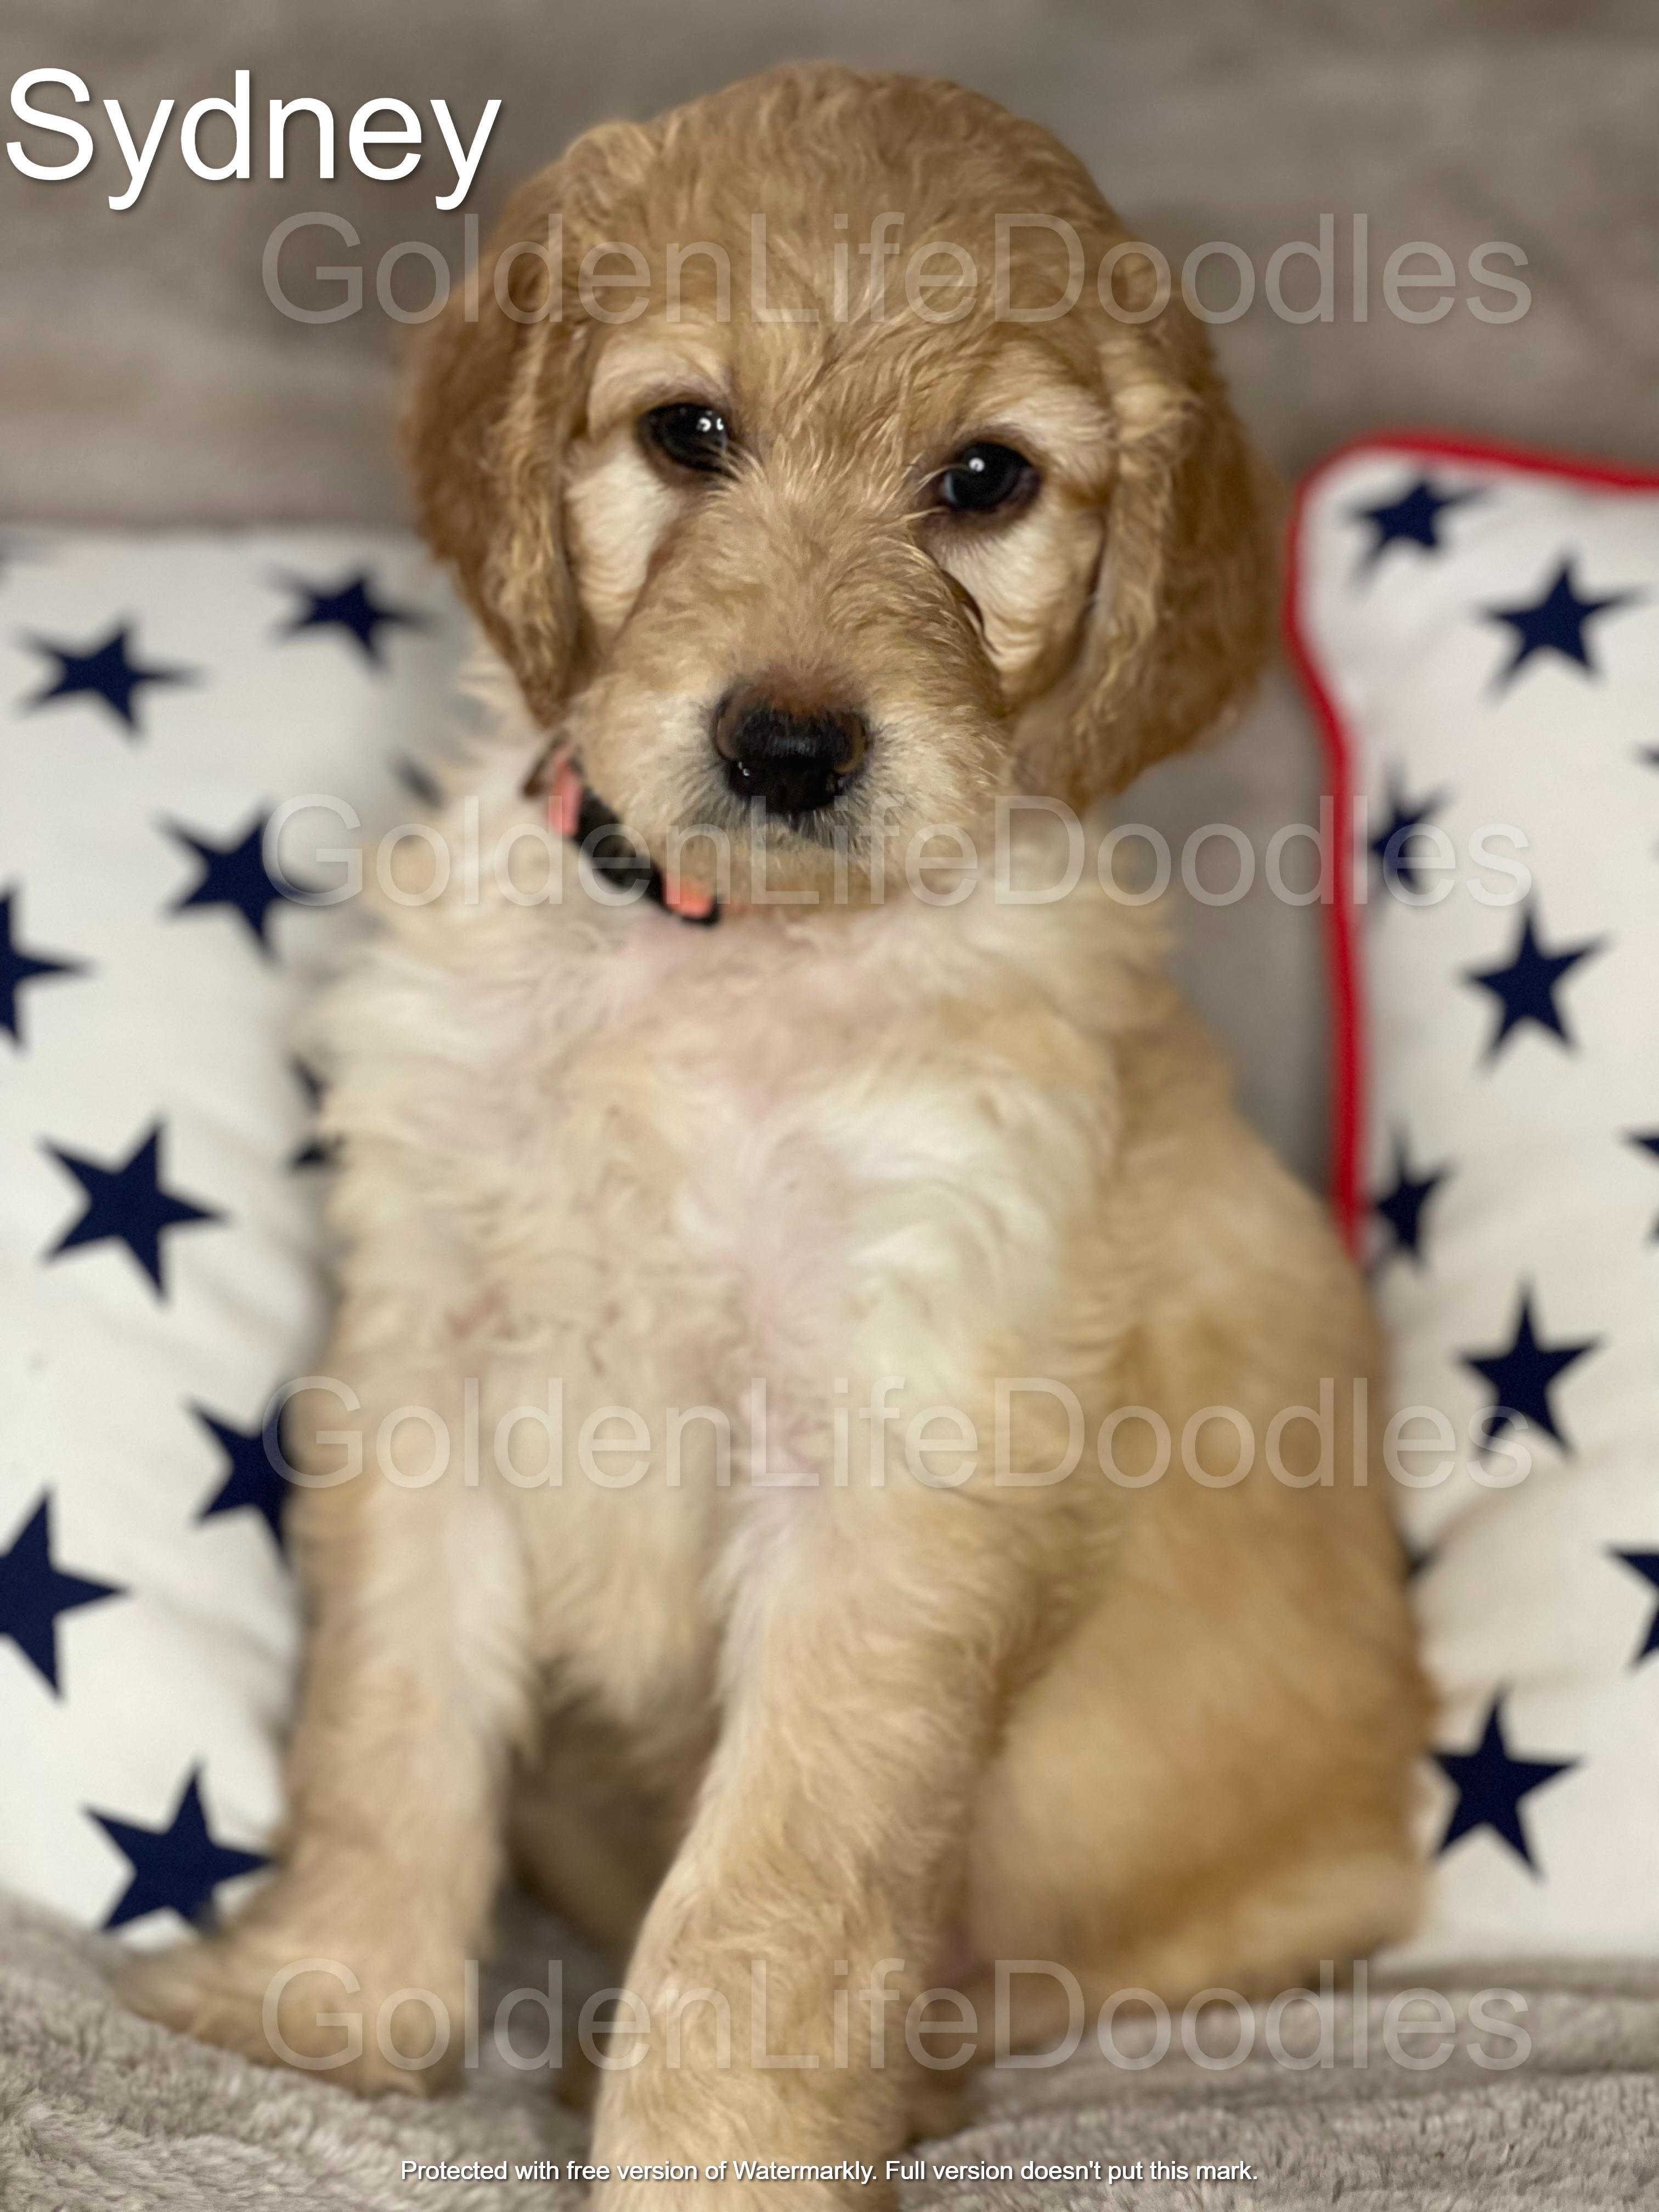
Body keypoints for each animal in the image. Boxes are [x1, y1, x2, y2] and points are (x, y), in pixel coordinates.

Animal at [121, 64, 1428, 2209]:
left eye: (983, 481)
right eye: (689, 433)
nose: (791, 748)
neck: (714, 955)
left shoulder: (898, 1457)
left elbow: (779, 1890)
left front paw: (719, 2155)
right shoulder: (428, 1350)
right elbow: (385, 1717)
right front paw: (332, 2000)